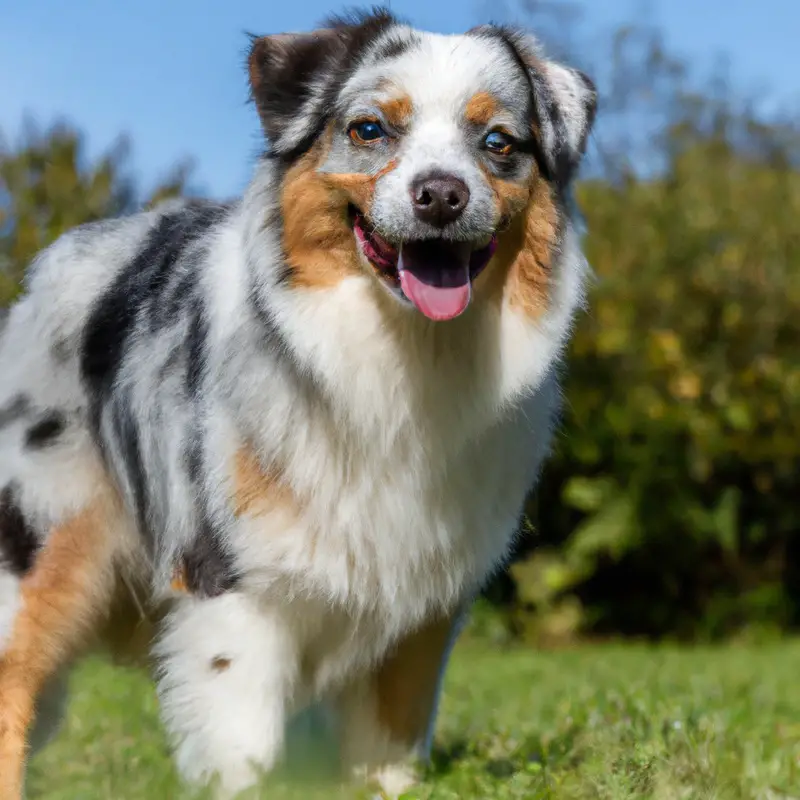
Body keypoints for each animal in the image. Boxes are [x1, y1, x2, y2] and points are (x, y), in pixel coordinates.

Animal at [0, 7, 592, 800]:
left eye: (498, 143)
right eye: (371, 129)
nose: (442, 194)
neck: (400, 359)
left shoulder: (422, 607)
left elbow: (392, 747)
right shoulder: (235, 591)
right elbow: (243, 749)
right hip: (40, 548)